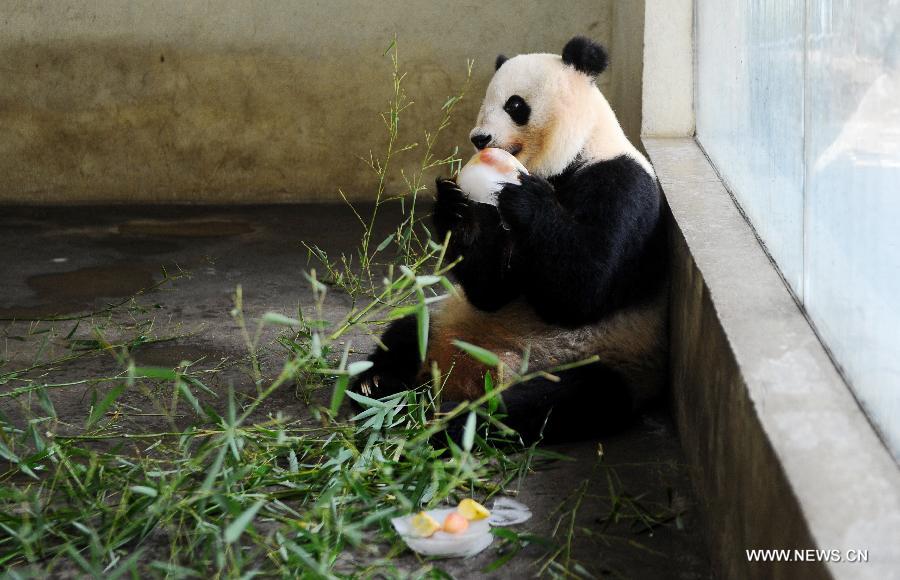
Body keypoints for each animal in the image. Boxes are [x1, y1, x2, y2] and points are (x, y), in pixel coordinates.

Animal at [352, 36, 668, 442]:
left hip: (602, 357)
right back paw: (376, 386)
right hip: (447, 321)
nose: (479, 138)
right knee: (409, 329)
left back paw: (458, 421)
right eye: (484, 102)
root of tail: (474, 370)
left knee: (562, 399)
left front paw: (525, 194)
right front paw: (455, 209)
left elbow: (582, 290)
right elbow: (492, 290)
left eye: (514, 105)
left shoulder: (620, 184)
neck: (574, 155)